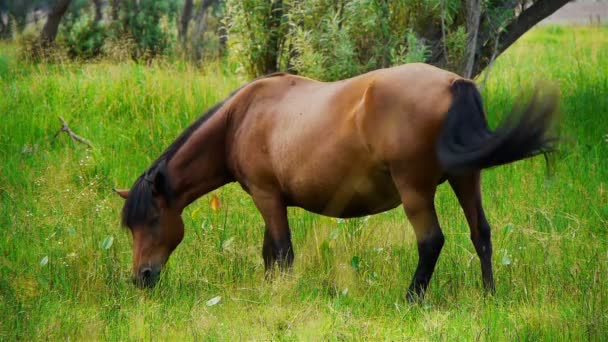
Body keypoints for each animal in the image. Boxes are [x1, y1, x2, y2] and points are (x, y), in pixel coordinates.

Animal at [113, 62, 556, 300]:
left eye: (151, 221)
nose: (140, 278)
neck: (240, 119)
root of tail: (453, 83)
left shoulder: (266, 196)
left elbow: (282, 252)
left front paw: (282, 295)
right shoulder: (271, 200)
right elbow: (269, 253)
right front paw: (270, 289)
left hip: (415, 191)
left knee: (431, 241)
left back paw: (411, 298)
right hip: (466, 178)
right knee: (481, 234)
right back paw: (488, 294)